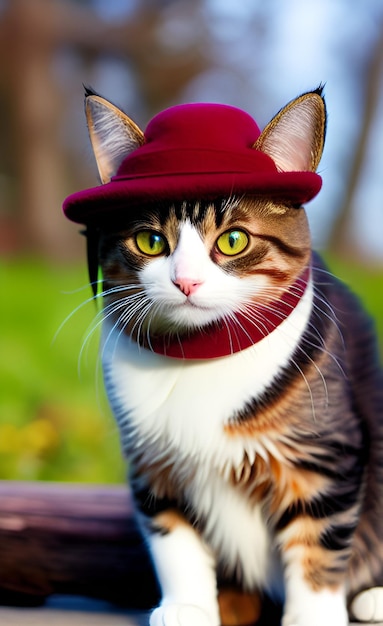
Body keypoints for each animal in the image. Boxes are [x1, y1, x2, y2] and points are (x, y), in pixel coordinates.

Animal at [63, 84, 383, 624]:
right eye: (150, 240)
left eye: (233, 240)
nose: (186, 281)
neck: (200, 351)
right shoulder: (153, 464)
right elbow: (174, 541)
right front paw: (189, 606)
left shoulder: (324, 458)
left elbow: (316, 547)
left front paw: (313, 616)